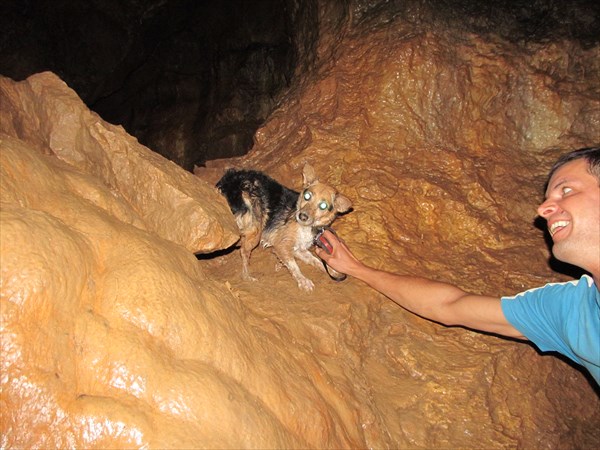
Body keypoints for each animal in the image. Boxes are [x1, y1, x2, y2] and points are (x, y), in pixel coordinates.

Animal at [217, 163, 352, 290]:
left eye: (323, 206)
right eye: (307, 196)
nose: (302, 216)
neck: (307, 227)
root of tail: (230, 181)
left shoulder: (299, 249)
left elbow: (316, 260)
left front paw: (332, 270)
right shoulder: (282, 245)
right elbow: (294, 265)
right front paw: (303, 280)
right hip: (256, 229)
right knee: (243, 252)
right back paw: (247, 276)